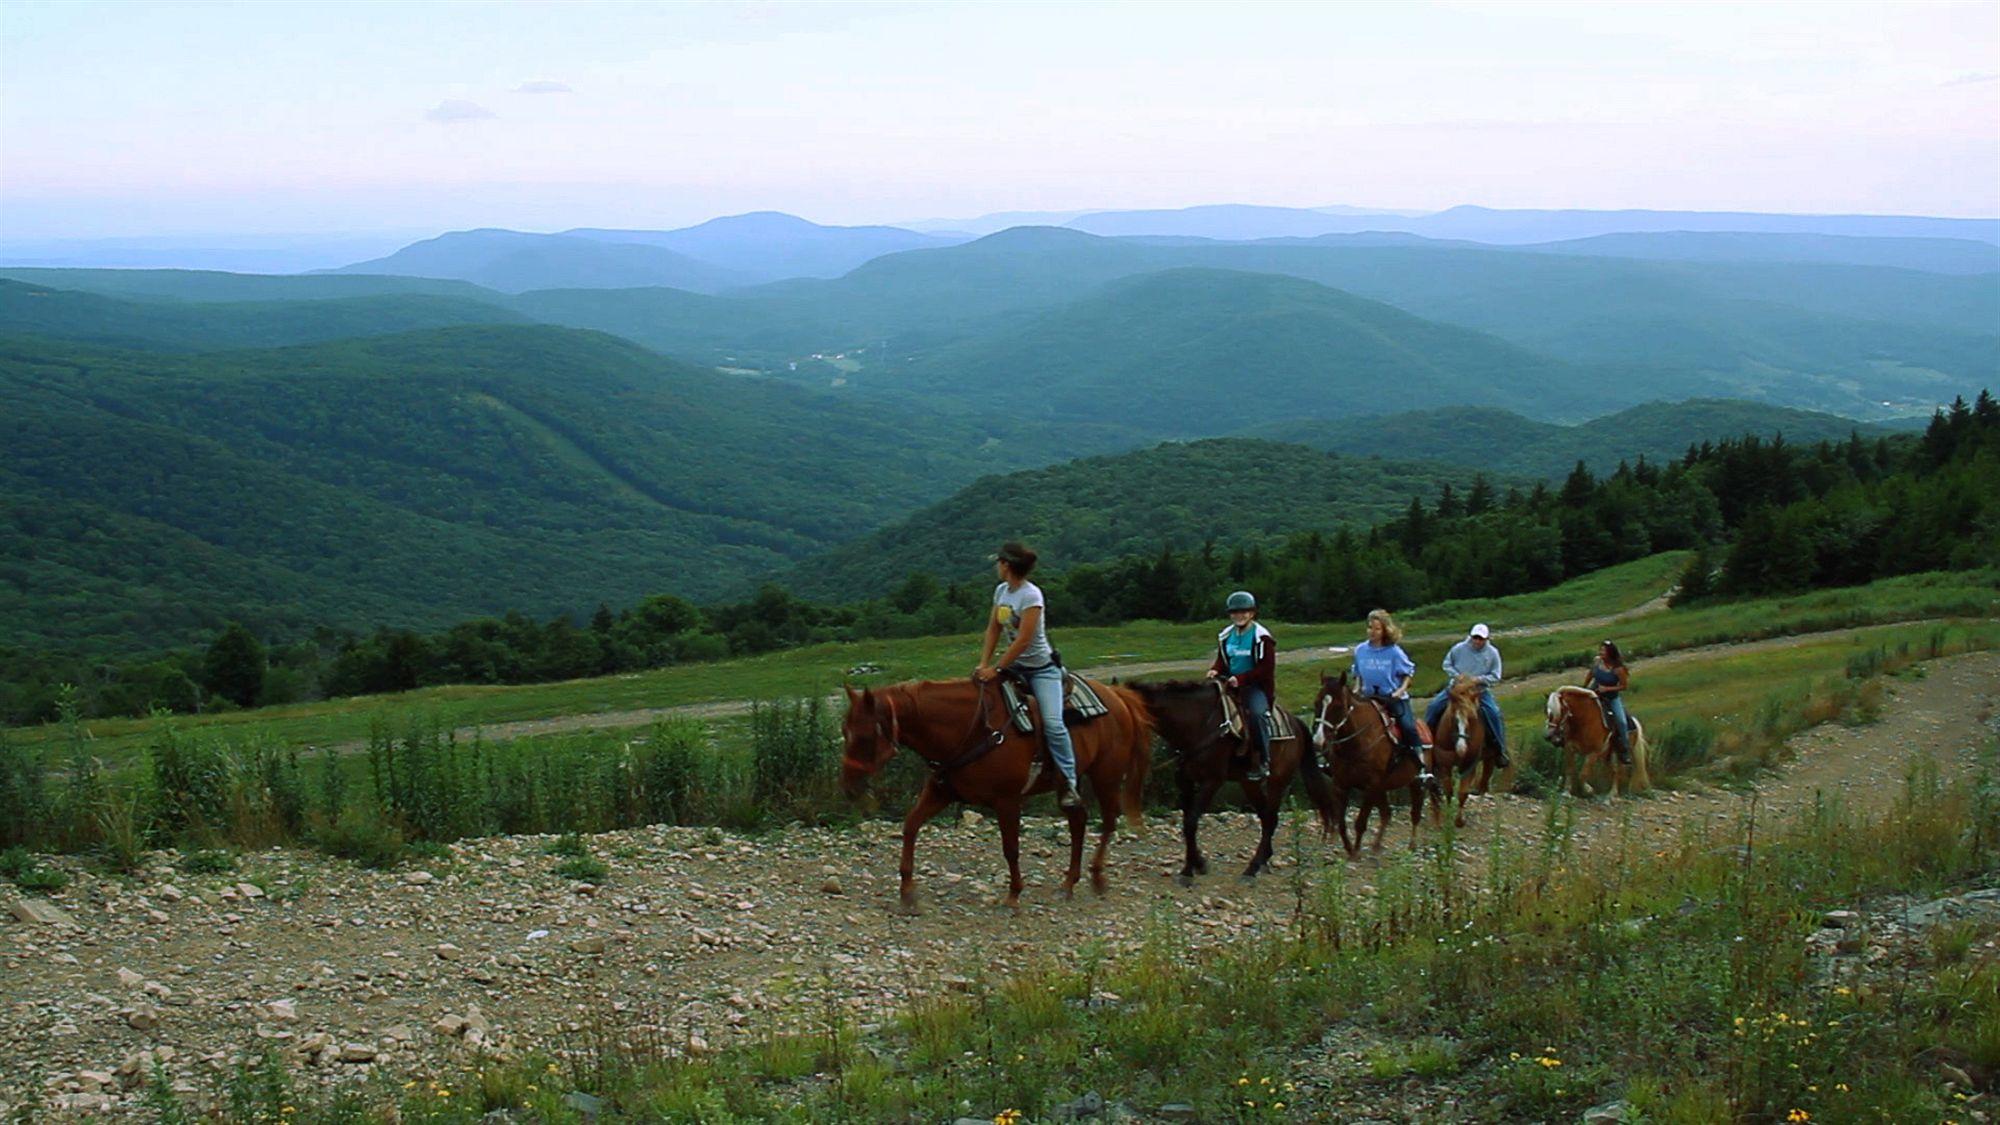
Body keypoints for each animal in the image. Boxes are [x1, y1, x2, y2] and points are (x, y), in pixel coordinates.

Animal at [844, 668, 1160, 904]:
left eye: (865, 737)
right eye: (844, 731)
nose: (848, 786)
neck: (969, 729)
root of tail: (1117, 696)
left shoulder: (1007, 800)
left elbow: (1011, 847)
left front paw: (1014, 894)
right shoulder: (941, 792)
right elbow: (910, 826)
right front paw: (907, 890)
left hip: (1106, 775)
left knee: (1107, 821)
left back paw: (1096, 876)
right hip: (1068, 782)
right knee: (1079, 822)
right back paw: (1069, 883)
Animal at [1120, 672, 1336, 884]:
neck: (1197, 723)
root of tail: (1295, 723)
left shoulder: (1212, 781)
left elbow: (1191, 821)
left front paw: (1190, 870)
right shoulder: (1184, 781)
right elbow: (1187, 822)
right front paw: (1196, 864)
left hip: (1278, 781)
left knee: (1271, 818)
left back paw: (1252, 868)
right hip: (1249, 783)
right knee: (1266, 816)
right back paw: (1263, 861)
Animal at [1304, 668, 1432, 852]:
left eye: (1337, 706)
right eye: (1316, 703)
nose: (1318, 741)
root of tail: (1425, 728)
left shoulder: (1371, 786)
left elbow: (1360, 823)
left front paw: (1356, 852)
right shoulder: (1341, 785)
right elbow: (1341, 823)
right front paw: (1350, 849)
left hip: (1416, 783)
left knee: (1415, 813)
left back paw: (1412, 845)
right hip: (1383, 788)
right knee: (1386, 813)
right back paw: (1376, 846)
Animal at [1432, 672, 1504, 824]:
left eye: (1472, 718)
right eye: (1453, 717)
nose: (1462, 749)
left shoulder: (1469, 765)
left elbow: (1462, 792)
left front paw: (1459, 821)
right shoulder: (1444, 764)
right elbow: (1448, 790)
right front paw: (1448, 815)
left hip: (1490, 760)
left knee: (1483, 785)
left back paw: (1479, 810)